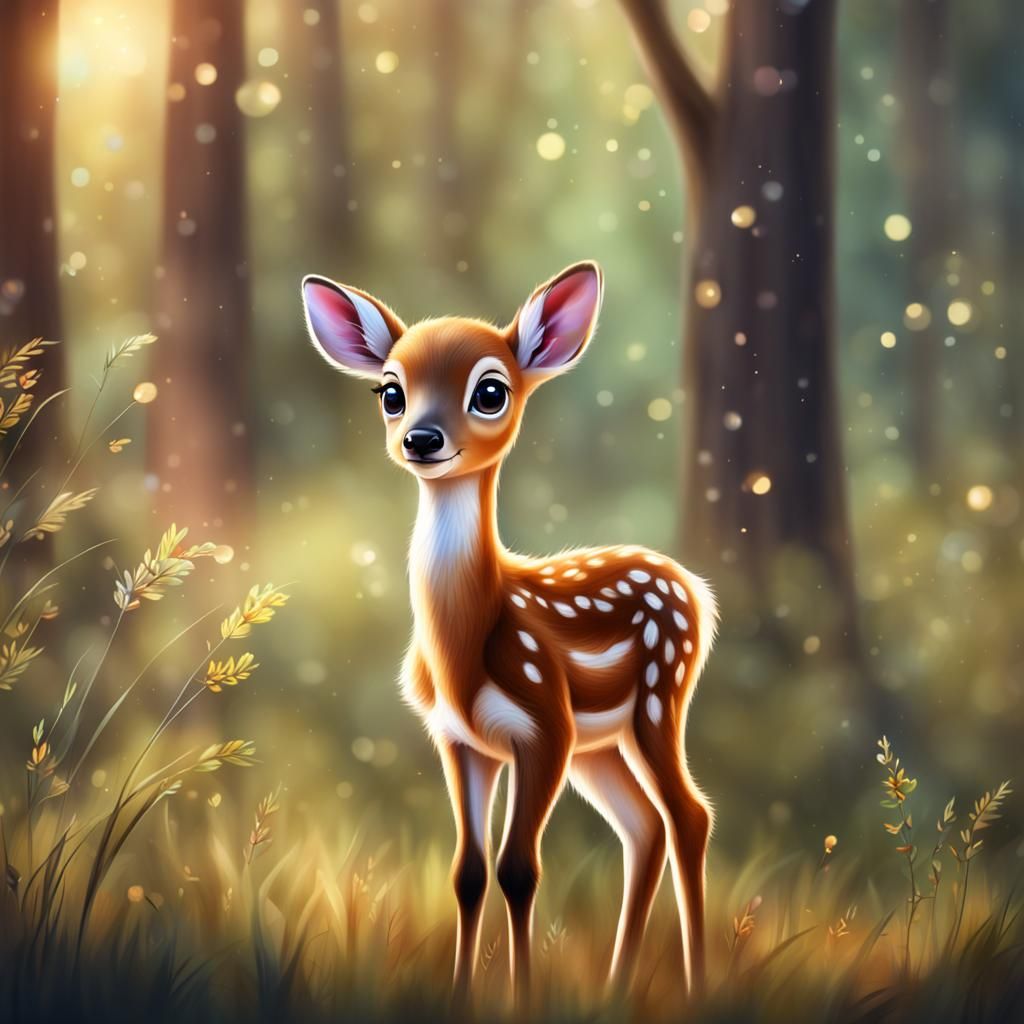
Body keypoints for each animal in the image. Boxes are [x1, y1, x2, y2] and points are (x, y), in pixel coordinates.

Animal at [301, 261, 717, 1006]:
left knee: (687, 815)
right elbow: (467, 874)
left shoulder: (543, 724)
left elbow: (520, 869)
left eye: (490, 391)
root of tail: (694, 586)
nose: (422, 438)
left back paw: (695, 987)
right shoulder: (460, 739)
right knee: (642, 827)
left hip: (657, 699)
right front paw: (460, 997)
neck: (464, 646)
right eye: (390, 392)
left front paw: (522, 998)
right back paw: (614, 990)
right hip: (597, 747)